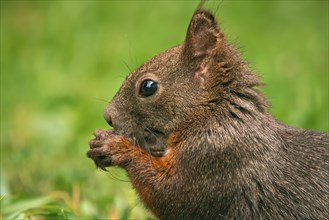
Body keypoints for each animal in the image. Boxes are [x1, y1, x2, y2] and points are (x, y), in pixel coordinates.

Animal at [87, 6, 328, 219]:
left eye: (148, 86)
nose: (108, 116)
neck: (215, 117)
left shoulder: (218, 159)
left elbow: (171, 195)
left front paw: (114, 146)